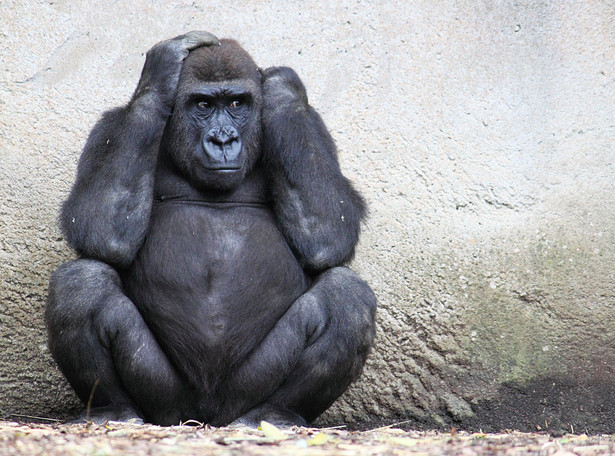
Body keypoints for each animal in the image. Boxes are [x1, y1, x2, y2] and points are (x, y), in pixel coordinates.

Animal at [47, 33, 376, 428]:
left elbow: (328, 233)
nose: (222, 140)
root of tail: (206, 417)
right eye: (203, 105)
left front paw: (280, 87)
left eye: (236, 103)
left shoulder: (312, 125)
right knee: (83, 281)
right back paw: (115, 409)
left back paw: (276, 412)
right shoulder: (110, 126)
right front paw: (160, 75)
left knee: (345, 293)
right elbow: (99, 229)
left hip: (243, 393)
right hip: (167, 402)